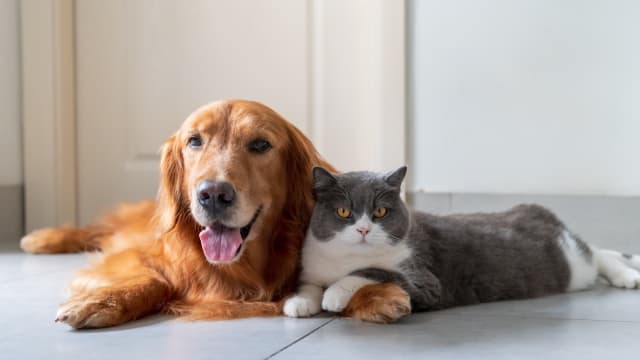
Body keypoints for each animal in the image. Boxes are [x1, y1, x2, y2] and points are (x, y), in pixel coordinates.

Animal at [22, 100, 410, 328]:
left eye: (260, 145)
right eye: (194, 140)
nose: (212, 194)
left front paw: (376, 294)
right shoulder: (139, 255)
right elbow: (155, 279)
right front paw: (101, 300)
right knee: (99, 229)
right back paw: (43, 238)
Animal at [284, 167, 640, 318]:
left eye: (380, 211)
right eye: (344, 211)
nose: (362, 230)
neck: (345, 257)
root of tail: (537, 210)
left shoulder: (425, 280)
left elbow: (373, 271)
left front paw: (335, 294)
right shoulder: (312, 266)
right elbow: (309, 286)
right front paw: (299, 303)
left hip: (572, 263)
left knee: (595, 252)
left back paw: (627, 275)